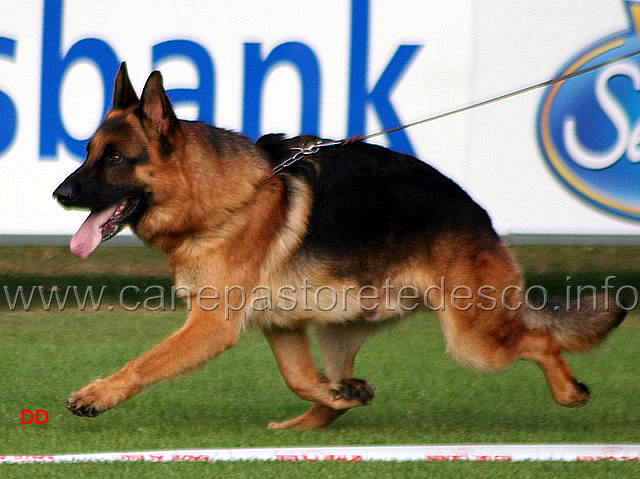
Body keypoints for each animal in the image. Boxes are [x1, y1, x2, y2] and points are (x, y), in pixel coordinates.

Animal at [53, 62, 624, 428]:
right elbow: (297, 377)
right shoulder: (280, 326)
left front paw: (97, 395)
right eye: (87, 152)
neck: (223, 198)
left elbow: (145, 362)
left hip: (474, 340)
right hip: (339, 328)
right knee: (328, 386)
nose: (59, 194)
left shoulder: (210, 326)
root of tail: (479, 215)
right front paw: (338, 395)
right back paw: (322, 412)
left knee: (540, 340)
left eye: (114, 159)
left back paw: (569, 391)